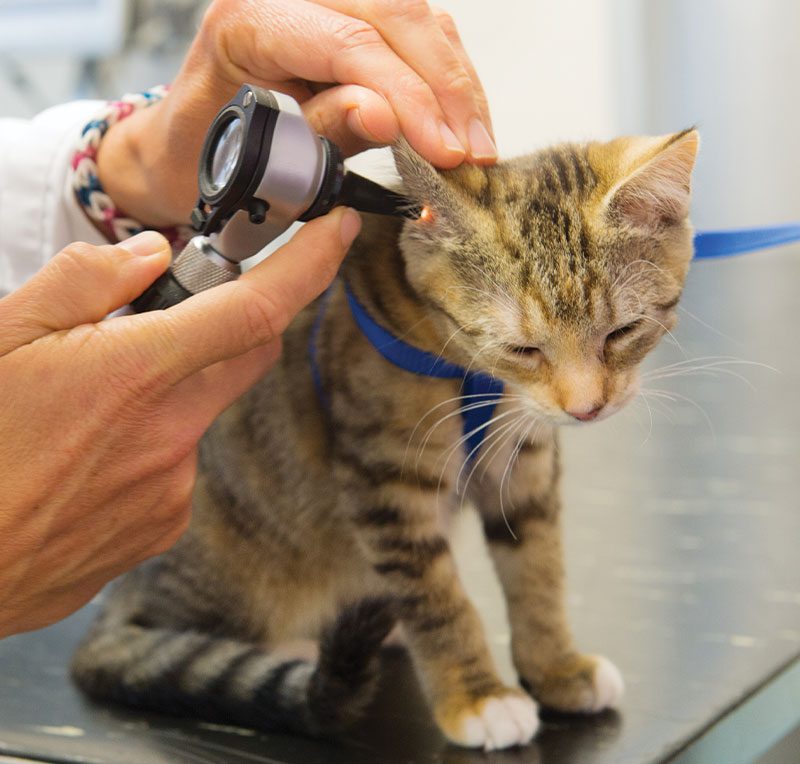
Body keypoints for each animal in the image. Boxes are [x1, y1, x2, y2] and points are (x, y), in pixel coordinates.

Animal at [73, 128, 700, 748]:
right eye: (523, 349)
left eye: (623, 332)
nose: (587, 408)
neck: (469, 373)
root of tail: (122, 596)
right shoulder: (385, 482)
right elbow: (438, 599)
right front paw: (476, 696)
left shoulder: (524, 467)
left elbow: (538, 571)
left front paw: (556, 668)